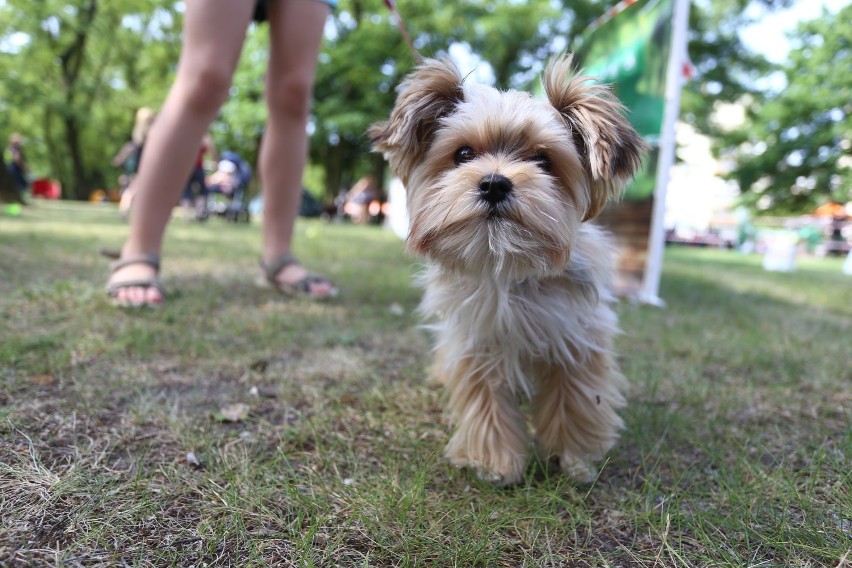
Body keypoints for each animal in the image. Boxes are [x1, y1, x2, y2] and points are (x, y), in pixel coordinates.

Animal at [370, 54, 644, 484]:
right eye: (463, 154)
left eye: (543, 160)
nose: (494, 184)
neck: (507, 264)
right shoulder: (478, 340)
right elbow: (486, 402)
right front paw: (495, 462)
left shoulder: (577, 336)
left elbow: (577, 398)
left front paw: (574, 456)